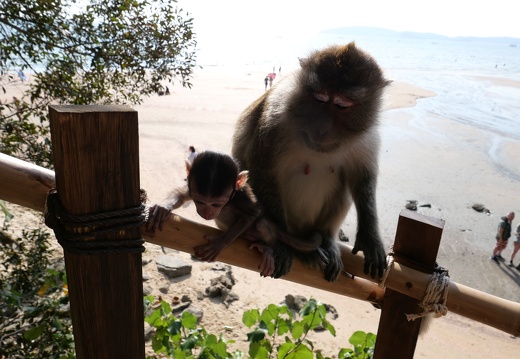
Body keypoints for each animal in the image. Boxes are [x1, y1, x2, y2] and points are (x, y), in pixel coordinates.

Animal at [143, 150, 320, 278]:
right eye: (200, 201)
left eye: (216, 204)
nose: (207, 213)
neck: (227, 203)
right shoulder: (193, 188)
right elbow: (181, 194)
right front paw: (163, 208)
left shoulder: (240, 197)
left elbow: (253, 214)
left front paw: (219, 243)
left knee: (262, 223)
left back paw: (268, 249)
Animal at [233, 43, 390, 282]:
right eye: (320, 99)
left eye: (341, 105)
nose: (322, 127)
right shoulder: (275, 118)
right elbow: (261, 171)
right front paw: (281, 245)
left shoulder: (367, 137)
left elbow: (362, 179)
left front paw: (370, 237)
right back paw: (304, 250)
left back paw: (326, 239)